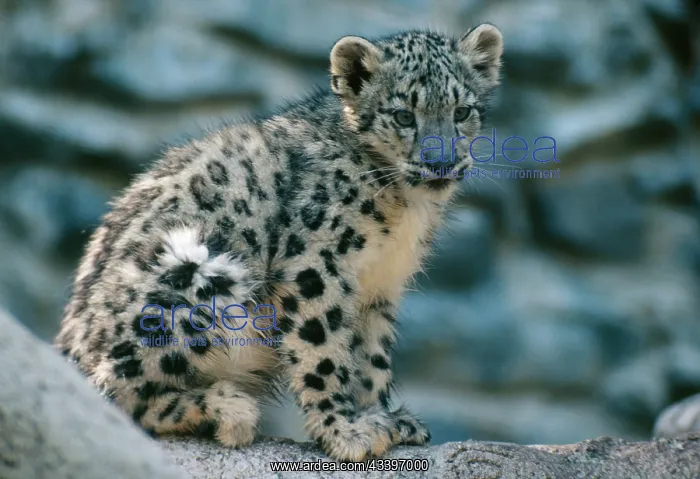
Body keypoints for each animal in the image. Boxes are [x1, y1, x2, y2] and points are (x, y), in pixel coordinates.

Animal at [54, 24, 504, 462]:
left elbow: (371, 357)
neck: (404, 210)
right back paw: (226, 409)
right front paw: (344, 432)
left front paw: (383, 418)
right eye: (403, 115)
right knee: (114, 391)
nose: (441, 162)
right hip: (194, 275)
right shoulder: (316, 265)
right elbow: (323, 347)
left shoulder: (380, 286)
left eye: (462, 111)